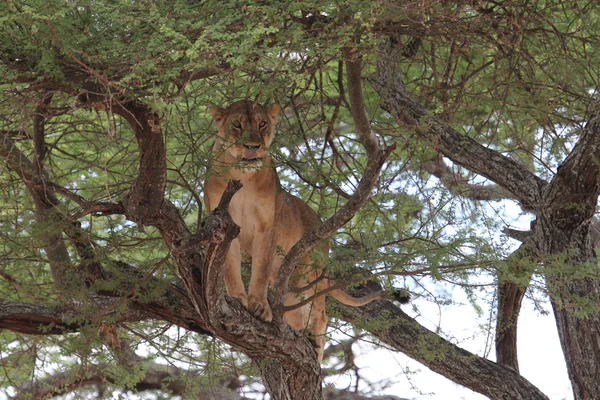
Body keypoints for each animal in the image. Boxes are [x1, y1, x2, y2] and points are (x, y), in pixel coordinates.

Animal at [205, 99, 384, 360]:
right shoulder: (226, 225)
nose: (253, 146)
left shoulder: (267, 227)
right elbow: (229, 267)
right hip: (291, 284)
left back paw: (315, 348)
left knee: (320, 314)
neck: (242, 176)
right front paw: (238, 298)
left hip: (312, 272)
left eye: (262, 124)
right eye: (237, 125)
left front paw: (259, 307)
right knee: (297, 317)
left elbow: (259, 271)